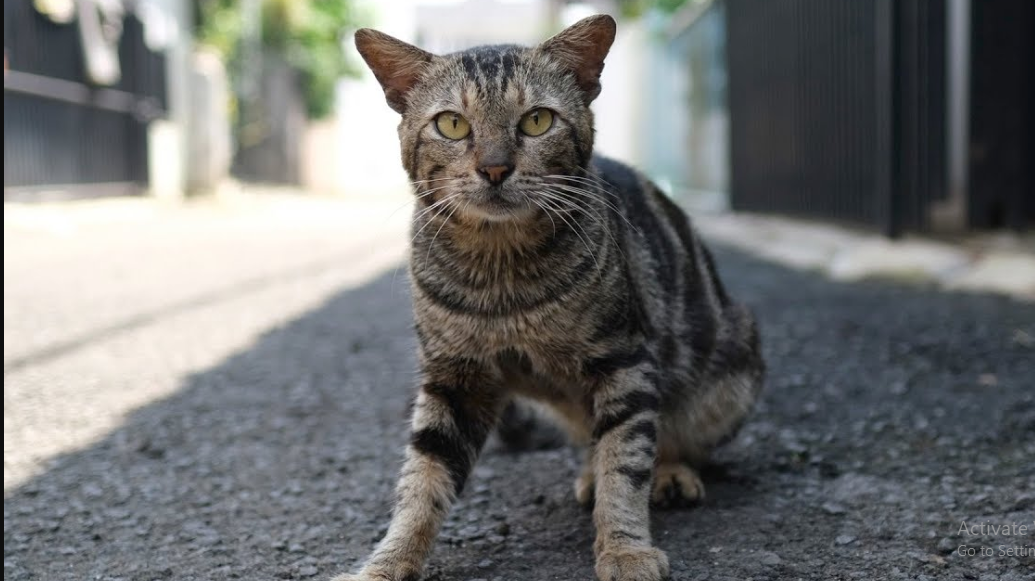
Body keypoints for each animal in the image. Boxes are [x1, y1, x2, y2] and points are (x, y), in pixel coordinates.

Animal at [335, 12, 765, 579]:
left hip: (730, 372)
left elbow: (625, 463)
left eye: (537, 121)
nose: (495, 168)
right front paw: (387, 562)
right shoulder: (454, 377)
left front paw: (625, 549)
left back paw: (668, 472)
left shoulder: (624, 361)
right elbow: (421, 480)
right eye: (452, 124)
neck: (500, 276)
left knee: (665, 436)